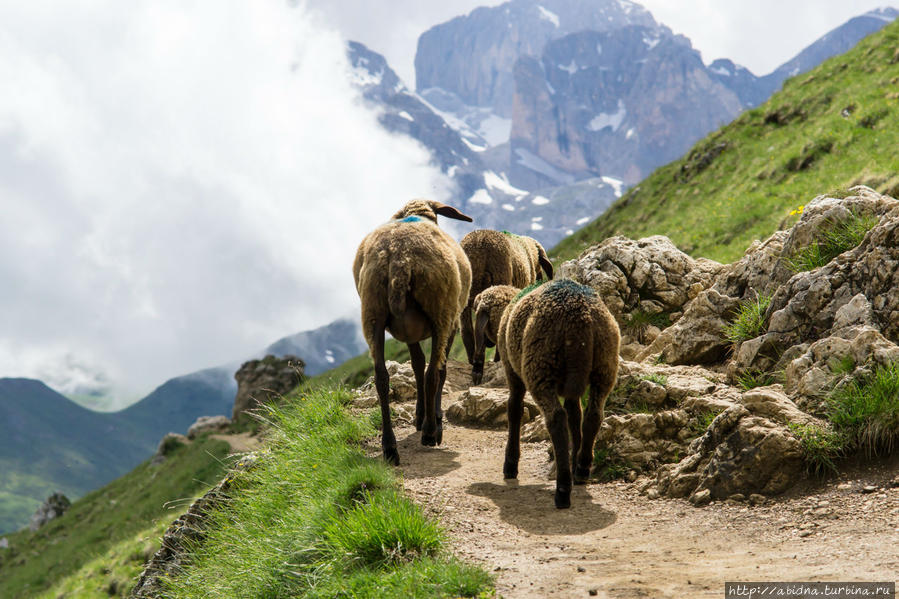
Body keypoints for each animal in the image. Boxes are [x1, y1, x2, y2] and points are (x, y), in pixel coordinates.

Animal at [354, 199, 474, 466]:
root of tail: (400, 257)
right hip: (441, 310)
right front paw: (432, 417)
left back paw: (389, 447)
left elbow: (417, 363)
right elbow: (436, 369)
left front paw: (419, 415)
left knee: (381, 378)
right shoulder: (451, 324)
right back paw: (430, 432)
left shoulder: (408, 331)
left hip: (372, 313)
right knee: (433, 373)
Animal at [496, 278, 624, 508]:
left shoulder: (513, 373)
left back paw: (563, 490)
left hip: (540, 366)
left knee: (556, 419)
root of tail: (582, 319)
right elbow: (575, 415)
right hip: (606, 363)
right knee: (592, 415)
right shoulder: (574, 389)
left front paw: (510, 464)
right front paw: (575, 462)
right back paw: (581, 469)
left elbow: (514, 410)